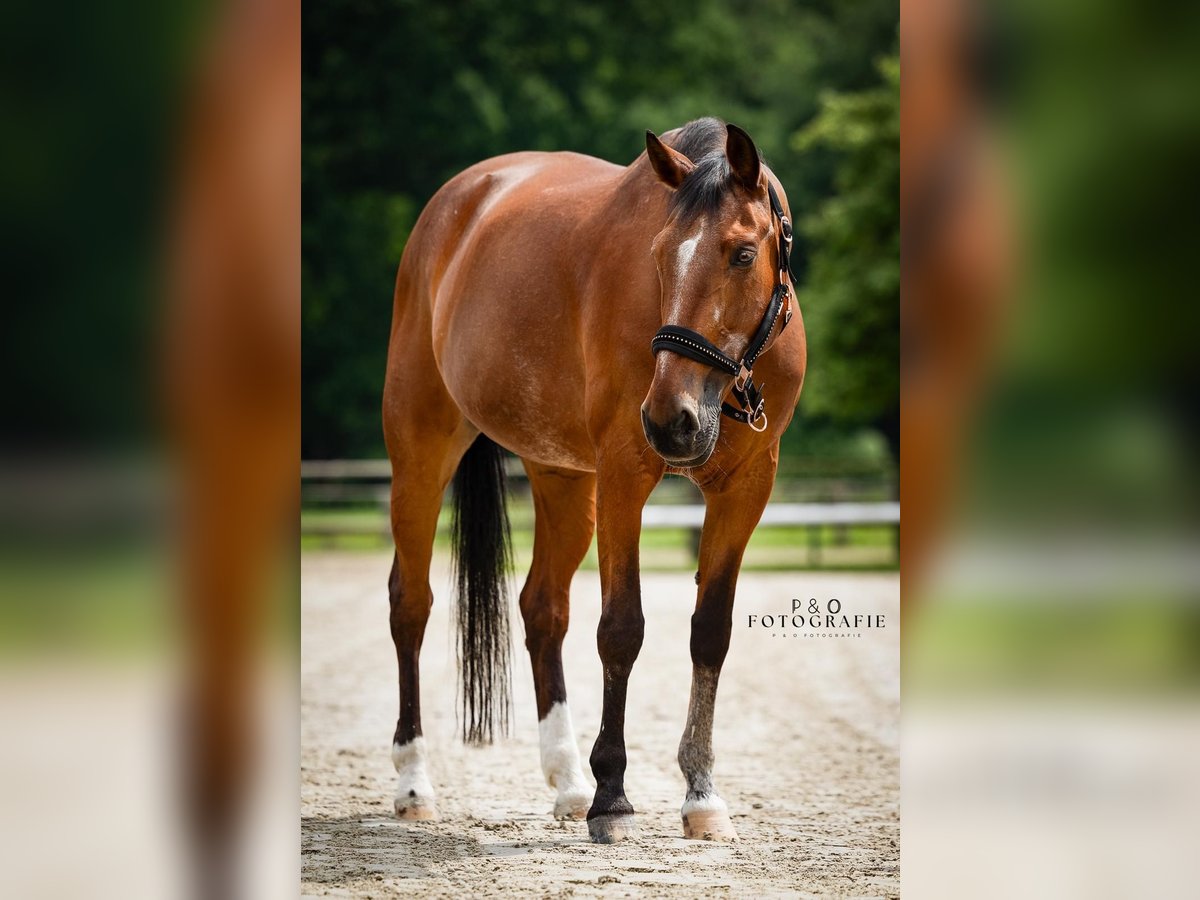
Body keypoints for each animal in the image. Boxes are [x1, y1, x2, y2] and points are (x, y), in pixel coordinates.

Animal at [376, 114, 806, 844]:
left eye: (744, 254)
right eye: (658, 255)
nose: (670, 420)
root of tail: (456, 203)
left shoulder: (747, 488)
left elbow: (710, 632)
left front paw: (700, 795)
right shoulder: (625, 473)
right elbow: (622, 629)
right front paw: (614, 796)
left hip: (563, 479)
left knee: (542, 609)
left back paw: (568, 782)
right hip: (421, 454)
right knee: (411, 605)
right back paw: (415, 784)